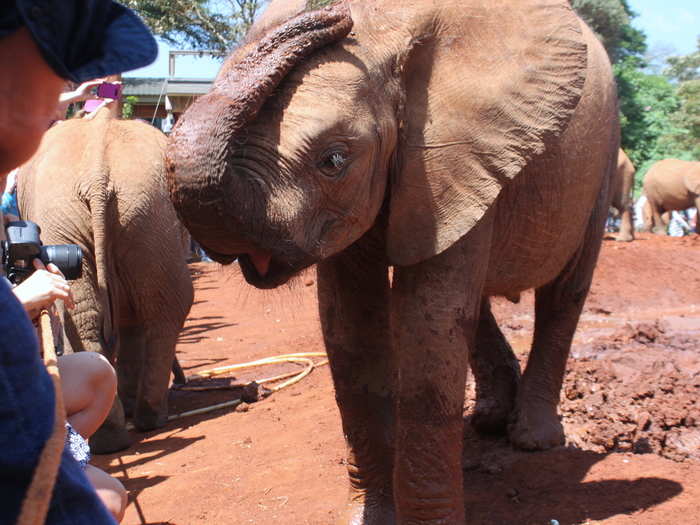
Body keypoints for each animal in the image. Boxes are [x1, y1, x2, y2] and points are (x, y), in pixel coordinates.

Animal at [17, 108, 193, 452]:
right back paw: (140, 423)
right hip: (145, 214)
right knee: (162, 307)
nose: (184, 380)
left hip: (135, 213)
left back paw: (121, 431)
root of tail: (97, 176)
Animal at [165, 2, 616, 520]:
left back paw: (533, 441)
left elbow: (427, 321)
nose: (329, 17)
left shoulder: (453, 155)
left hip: (602, 162)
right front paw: (369, 519)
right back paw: (489, 421)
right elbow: (352, 326)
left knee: (564, 293)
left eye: (333, 160)